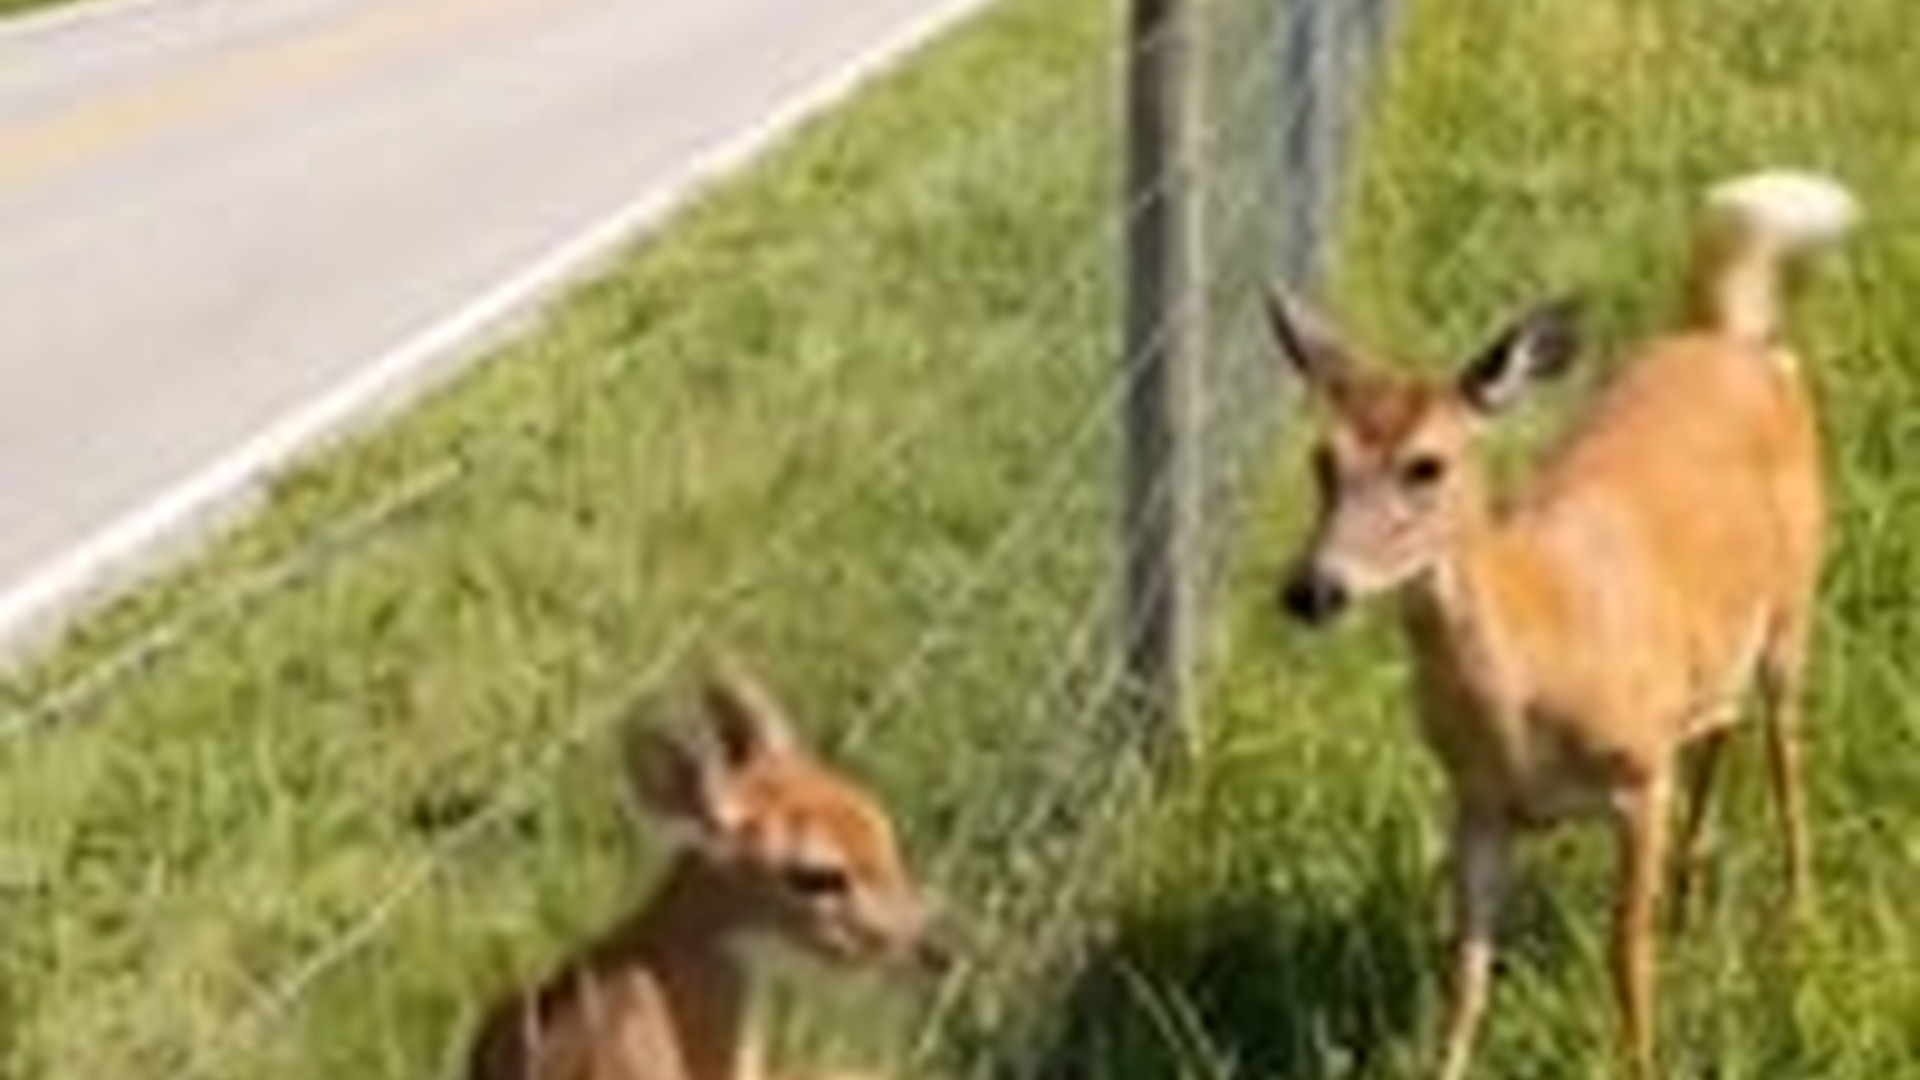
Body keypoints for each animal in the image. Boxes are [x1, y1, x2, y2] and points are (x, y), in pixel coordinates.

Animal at [1263, 169, 1857, 1079]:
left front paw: (1642, 1062)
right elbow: (1467, 974)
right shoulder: (1477, 802)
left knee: (1785, 752)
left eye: (1426, 465)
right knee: (1720, 729)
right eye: (1322, 461)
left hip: (1796, 605)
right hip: (1716, 651)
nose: (1312, 589)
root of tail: (1737, 341)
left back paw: (1800, 921)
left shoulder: (1638, 775)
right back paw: (1690, 896)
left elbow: (1623, 957)